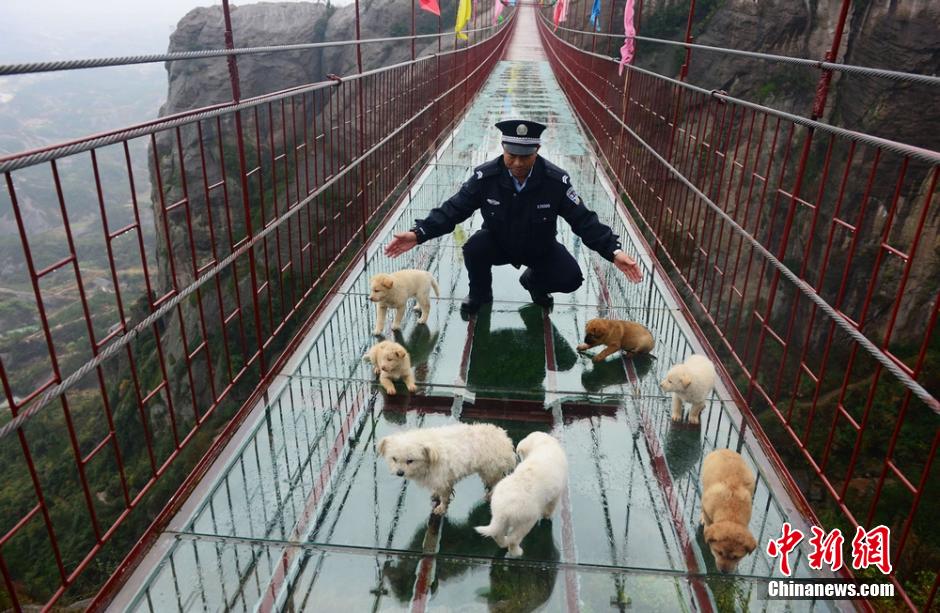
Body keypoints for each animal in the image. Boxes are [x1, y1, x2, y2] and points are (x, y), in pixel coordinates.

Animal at [378, 424, 516, 512]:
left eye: (410, 461)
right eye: (394, 459)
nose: (400, 473)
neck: (430, 458)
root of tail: (505, 438)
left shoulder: (443, 481)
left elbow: (444, 497)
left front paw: (441, 508)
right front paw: (435, 494)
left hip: (490, 470)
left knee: (497, 482)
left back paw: (491, 495)